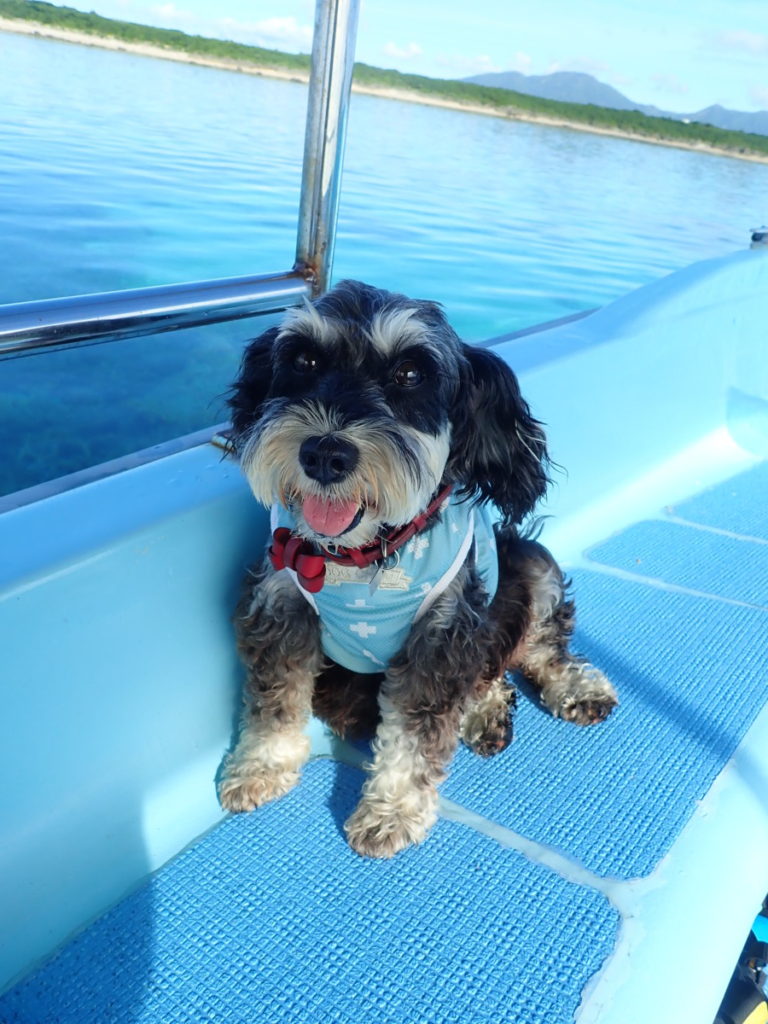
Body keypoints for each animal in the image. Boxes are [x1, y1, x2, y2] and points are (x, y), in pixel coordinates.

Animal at [219, 280, 617, 858]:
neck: (363, 557)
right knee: (490, 670)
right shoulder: (279, 605)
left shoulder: (441, 633)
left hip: (530, 564)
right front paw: (260, 767)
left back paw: (575, 690)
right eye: (304, 359)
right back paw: (488, 711)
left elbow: (414, 733)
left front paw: (392, 811)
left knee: (535, 649)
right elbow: (274, 700)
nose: (325, 455)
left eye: (410, 374)